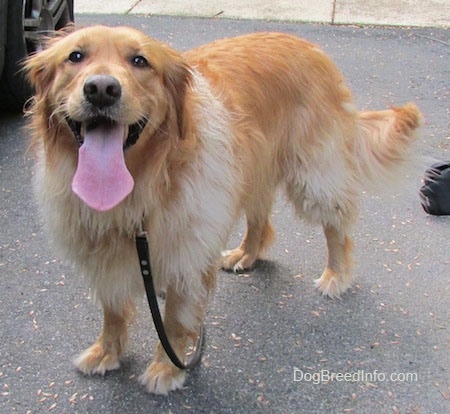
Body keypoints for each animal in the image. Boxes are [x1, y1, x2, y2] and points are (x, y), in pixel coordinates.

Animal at [25, 25, 418, 394]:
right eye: (75, 56)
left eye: (139, 61)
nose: (102, 89)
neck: (147, 182)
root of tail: (310, 46)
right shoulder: (103, 253)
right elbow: (112, 311)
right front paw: (106, 352)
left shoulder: (188, 253)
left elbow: (175, 320)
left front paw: (167, 368)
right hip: (251, 168)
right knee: (261, 219)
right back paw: (247, 253)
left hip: (313, 172)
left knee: (337, 226)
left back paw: (336, 273)